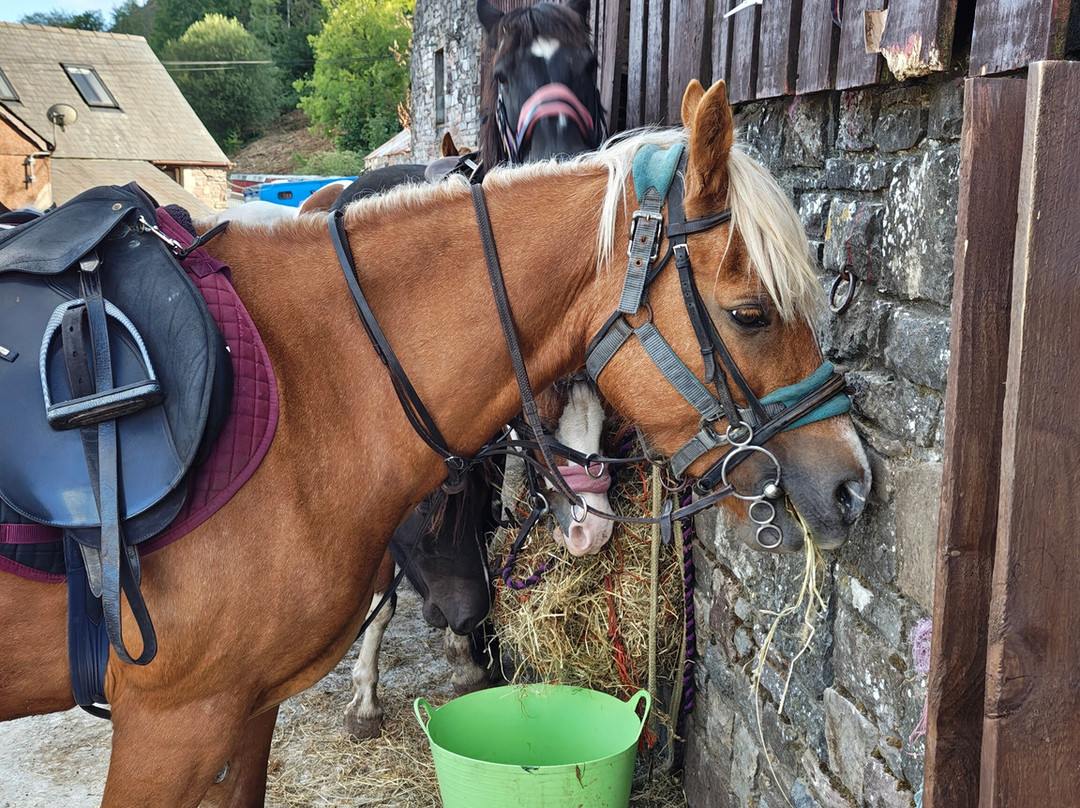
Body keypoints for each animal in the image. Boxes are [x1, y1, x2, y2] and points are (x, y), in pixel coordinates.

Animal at [0, 79, 870, 806]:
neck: (309, 371)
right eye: (751, 313)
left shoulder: (243, 712)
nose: (852, 485)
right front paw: (371, 695)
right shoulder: (174, 723)